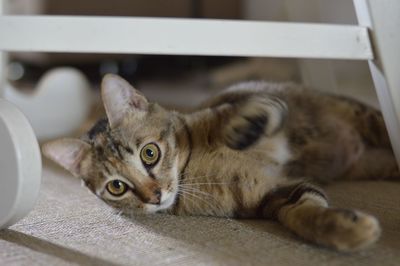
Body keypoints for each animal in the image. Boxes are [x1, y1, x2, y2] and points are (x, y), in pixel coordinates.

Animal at [42, 74, 398, 251]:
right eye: (117, 187)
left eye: (149, 153)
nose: (155, 196)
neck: (195, 175)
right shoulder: (274, 195)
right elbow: (301, 214)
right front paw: (347, 230)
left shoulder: (235, 108)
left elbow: (228, 115)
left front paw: (244, 124)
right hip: (373, 163)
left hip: (366, 118)